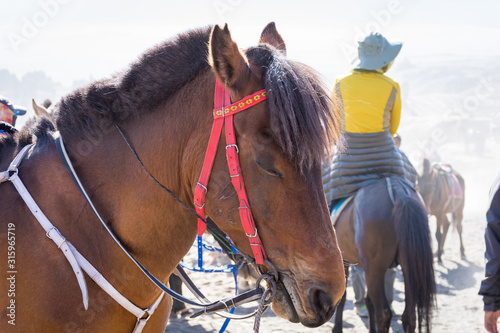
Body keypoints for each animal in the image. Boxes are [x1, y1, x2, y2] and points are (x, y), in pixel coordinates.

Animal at [332, 178, 434, 332]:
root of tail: (397, 189)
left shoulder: (344, 261)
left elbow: (342, 296)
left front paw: (337, 328)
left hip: (375, 268)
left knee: (384, 314)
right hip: (408, 266)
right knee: (409, 315)